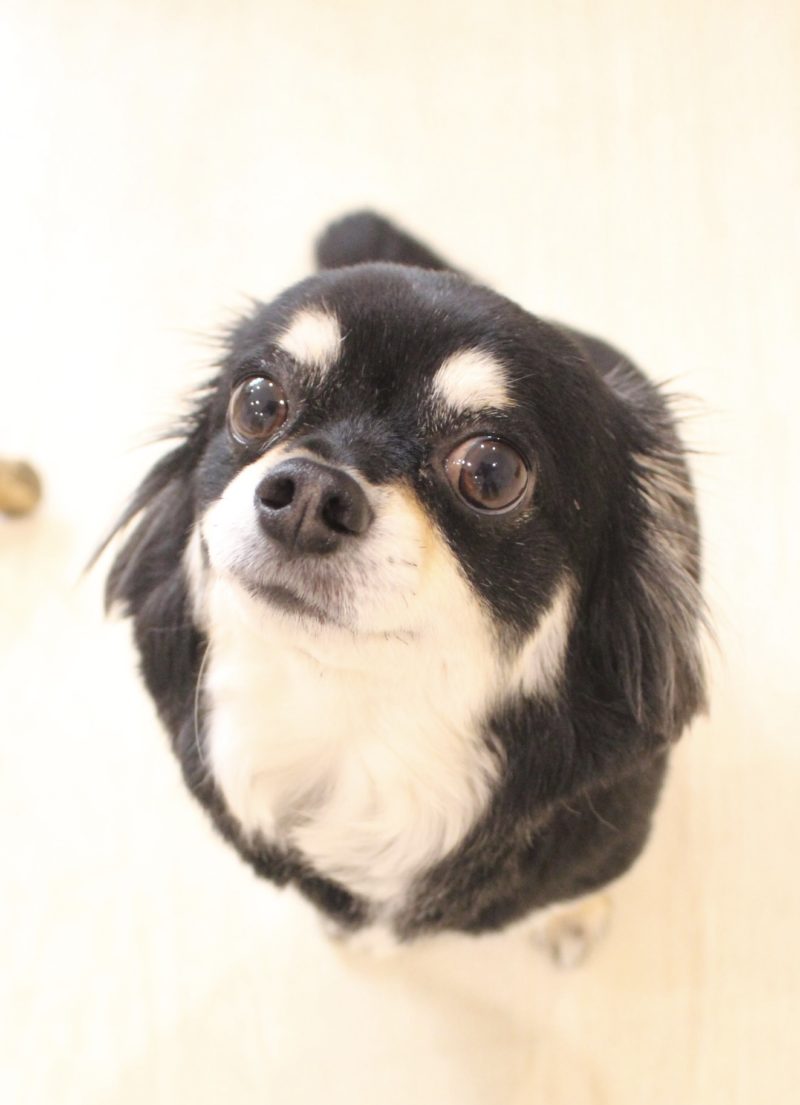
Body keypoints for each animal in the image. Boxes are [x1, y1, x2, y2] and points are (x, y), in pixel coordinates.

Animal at [104, 212, 706, 958]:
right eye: (258, 404)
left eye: (492, 472)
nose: (308, 494)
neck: (353, 725)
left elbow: (577, 886)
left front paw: (572, 916)